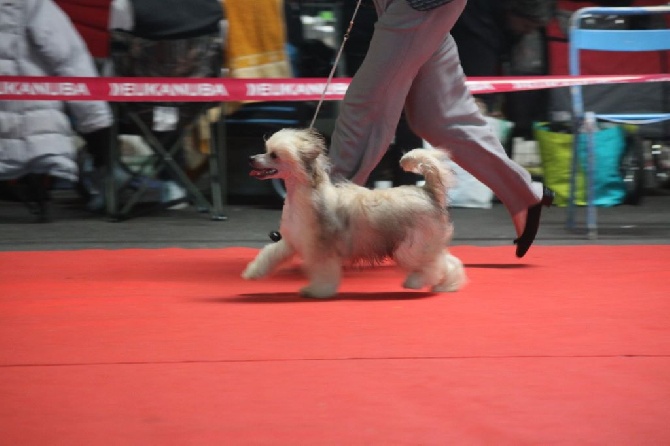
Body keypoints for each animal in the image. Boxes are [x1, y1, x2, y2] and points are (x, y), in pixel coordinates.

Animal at [243, 127, 468, 298]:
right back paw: (446, 285)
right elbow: (270, 253)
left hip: (412, 247)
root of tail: (428, 191)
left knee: (434, 264)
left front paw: (318, 291)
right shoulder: (292, 241)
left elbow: (323, 272)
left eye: (274, 155)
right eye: (266, 150)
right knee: (448, 261)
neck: (306, 195)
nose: (251, 158)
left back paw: (417, 282)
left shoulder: (322, 249)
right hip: (423, 245)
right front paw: (253, 272)